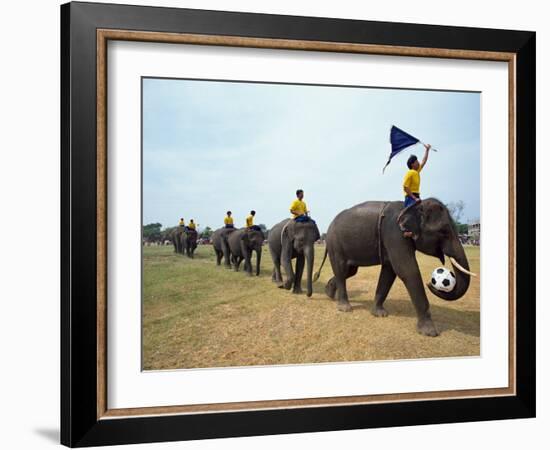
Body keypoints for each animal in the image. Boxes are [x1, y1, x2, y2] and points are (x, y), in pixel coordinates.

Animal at [312, 199, 476, 336]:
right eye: (443, 232)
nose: (431, 282)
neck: (412, 206)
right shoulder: (395, 234)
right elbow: (407, 270)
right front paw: (430, 332)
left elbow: (390, 272)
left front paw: (379, 314)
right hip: (335, 244)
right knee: (341, 270)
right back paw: (345, 308)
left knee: (350, 271)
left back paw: (329, 293)